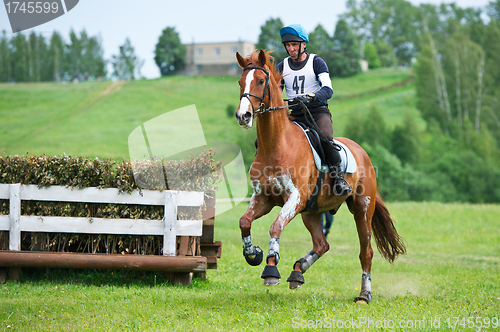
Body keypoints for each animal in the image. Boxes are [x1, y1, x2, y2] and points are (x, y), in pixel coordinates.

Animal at [235, 49, 406, 304]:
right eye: (240, 82)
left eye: (261, 81)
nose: (243, 116)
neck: (276, 144)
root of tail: (362, 151)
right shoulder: (263, 198)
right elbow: (244, 221)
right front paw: (253, 253)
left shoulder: (295, 198)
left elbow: (276, 227)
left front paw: (271, 268)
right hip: (312, 212)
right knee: (322, 243)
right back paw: (298, 271)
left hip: (362, 208)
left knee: (365, 251)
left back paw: (364, 295)